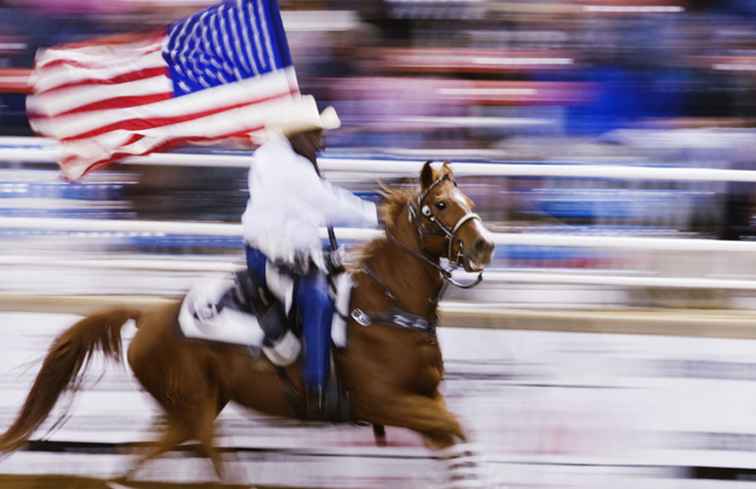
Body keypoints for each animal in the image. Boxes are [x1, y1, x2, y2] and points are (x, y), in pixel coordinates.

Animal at [0, 159, 496, 484]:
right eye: (442, 205)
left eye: (468, 198)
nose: (485, 245)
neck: (385, 306)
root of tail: (148, 315)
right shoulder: (386, 401)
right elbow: (457, 428)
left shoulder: (424, 398)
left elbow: (453, 435)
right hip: (195, 409)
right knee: (211, 461)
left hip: (187, 410)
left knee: (141, 458)